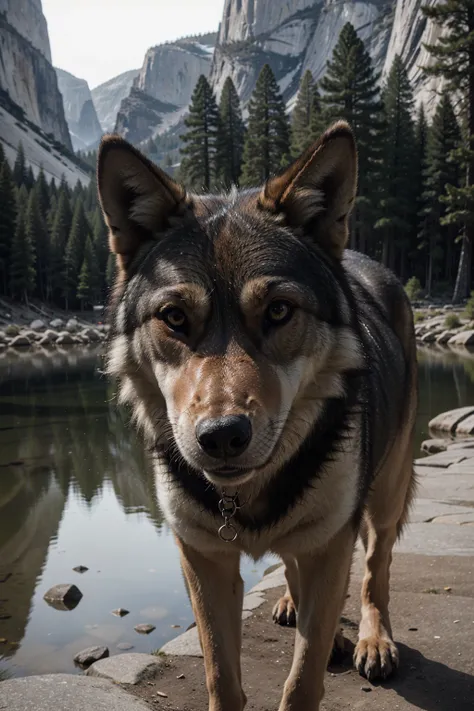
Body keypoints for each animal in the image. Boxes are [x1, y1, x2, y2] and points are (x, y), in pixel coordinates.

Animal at [98, 122, 416, 711]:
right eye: (174, 317)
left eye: (278, 311)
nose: (222, 437)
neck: (247, 496)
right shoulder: (202, 558)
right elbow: (222, 676)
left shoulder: (331, 542)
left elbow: (303, 678)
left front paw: (331, 650)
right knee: (293, 563)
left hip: (386, 491)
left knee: (375, 569)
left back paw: (372, 639)